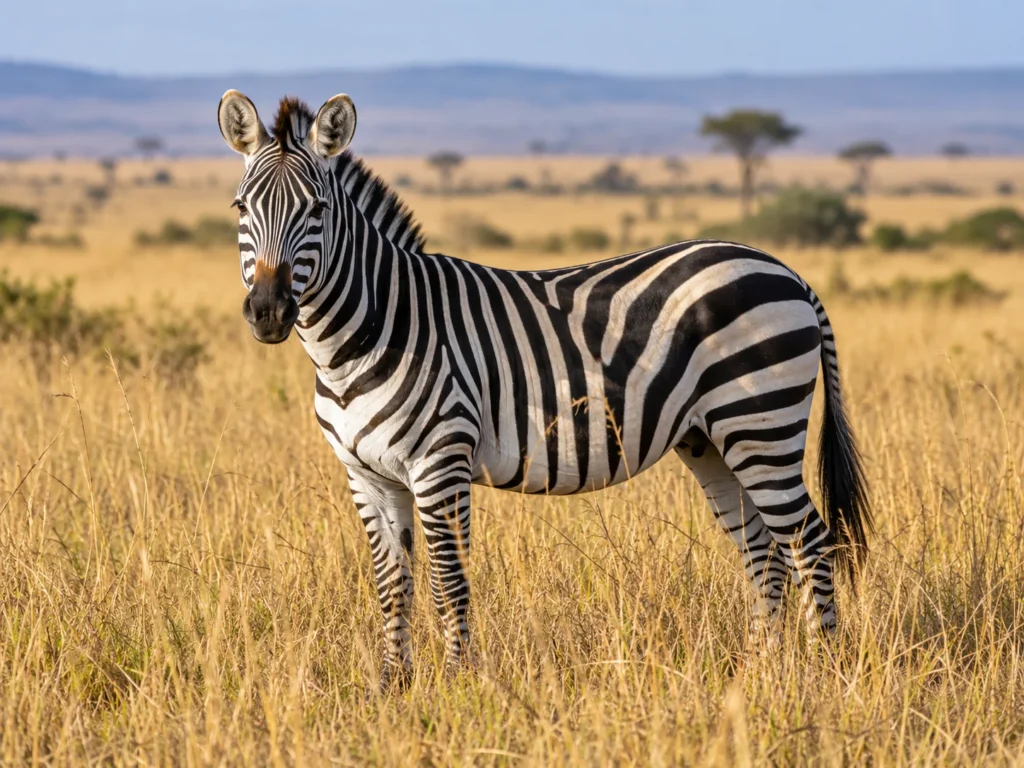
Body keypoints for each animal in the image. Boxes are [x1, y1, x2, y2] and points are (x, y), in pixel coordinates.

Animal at [217, 90, 871, 689]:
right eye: (241, 207)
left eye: (317, 209)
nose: (269, 312)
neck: (365, 337)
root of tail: (788, 271)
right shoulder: (366, 474)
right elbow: (393, 583)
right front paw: (390, 687)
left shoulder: (440, 462)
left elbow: (449, 581)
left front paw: (456, 689)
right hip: (711, 440)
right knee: (763, 550)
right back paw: (764, 674)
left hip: (762, 423)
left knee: (809, 541)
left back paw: (825, 674)